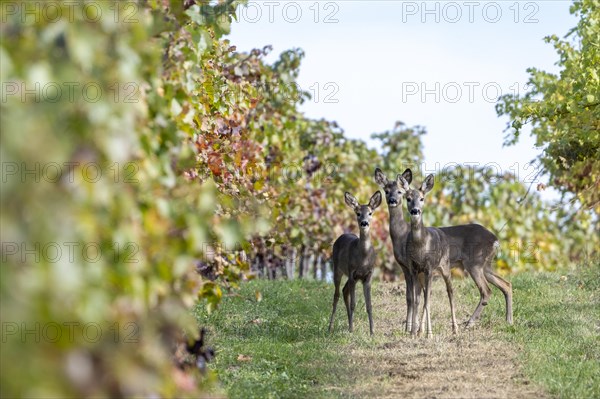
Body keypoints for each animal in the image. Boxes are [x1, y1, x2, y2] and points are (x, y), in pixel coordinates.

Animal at [330, 192, 382, 336]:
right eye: (358, 213)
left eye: (370, 213)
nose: (364, 222)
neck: (363, 259)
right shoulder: (353, 272)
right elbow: (354, 304)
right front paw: (352, 329)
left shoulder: (367, 276)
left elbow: (369, 305)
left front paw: (372, 332)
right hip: (338, 269)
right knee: (336, 295)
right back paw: (330, 327)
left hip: (350, 276)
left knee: (344, 290)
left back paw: (349, 324)